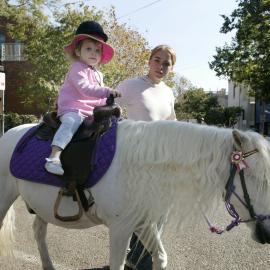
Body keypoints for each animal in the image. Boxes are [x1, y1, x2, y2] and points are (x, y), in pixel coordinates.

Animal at [0, 120, 270, 270]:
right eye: (258, 179)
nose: (267, 234)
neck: (142, 167)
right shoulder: (120, 228)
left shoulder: (143, 223)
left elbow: (160, 258)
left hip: (41, 206)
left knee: (38, 232)